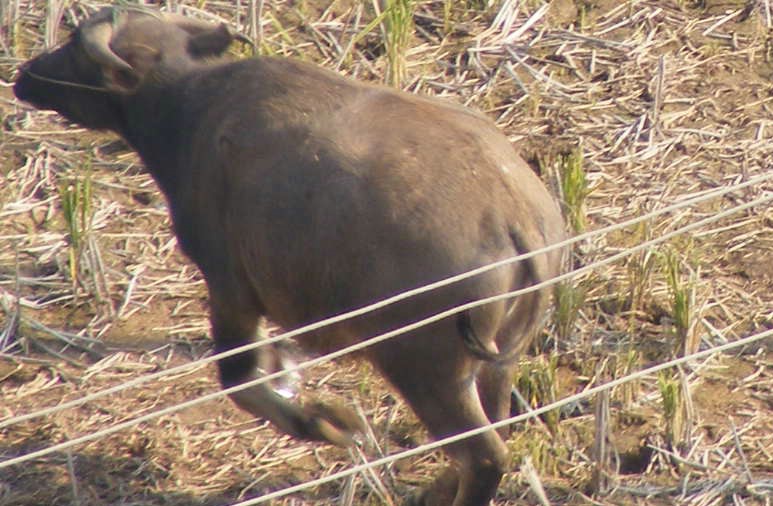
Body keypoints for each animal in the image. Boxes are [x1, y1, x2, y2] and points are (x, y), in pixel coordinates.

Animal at [13, 6, 568, 502]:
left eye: (74, 45)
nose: (25, 76)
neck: (190, 107)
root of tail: (516, 216)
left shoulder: (230, 290)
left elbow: (239, 380)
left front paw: (329, 422)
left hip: (425, 369)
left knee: (484, 454)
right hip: (493, 364)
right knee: (494, 430)